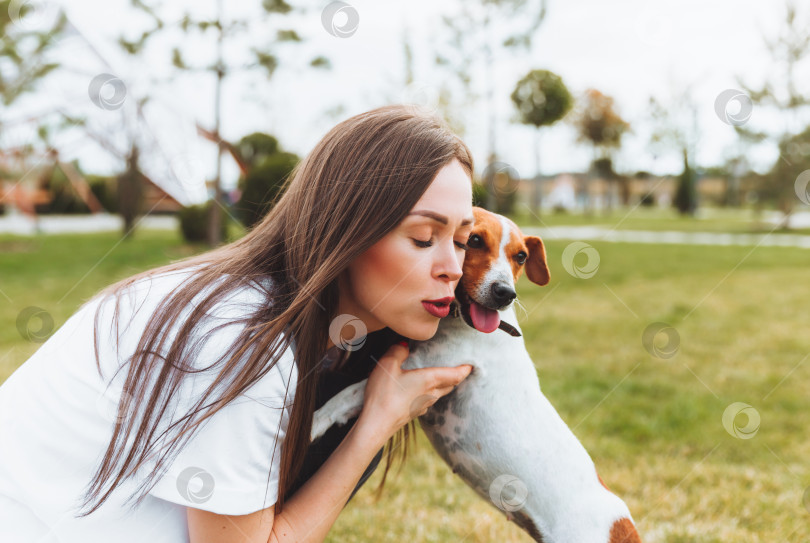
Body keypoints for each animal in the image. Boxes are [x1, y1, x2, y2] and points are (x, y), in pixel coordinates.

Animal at [312, 208, 640, 543]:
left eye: (520, 256)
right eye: (474, 241)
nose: (505, 293)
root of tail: (623, 526)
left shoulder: (421, 367)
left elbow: (348, 394)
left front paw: (314, 422)